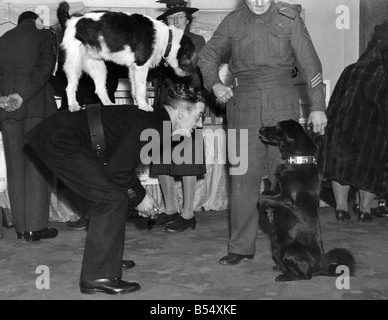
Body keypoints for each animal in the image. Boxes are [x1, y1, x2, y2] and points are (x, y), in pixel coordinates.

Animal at [56, 1, 196, 112]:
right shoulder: (141, 66)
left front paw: (137, 104)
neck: (167, 38)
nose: (192, 74)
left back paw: (109, 104)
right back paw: (73, 106)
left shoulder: (133, 68)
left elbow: (134, 90)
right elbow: (141, 89)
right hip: (73, 65)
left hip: (98, 67)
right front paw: (144, 106)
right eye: (190, 55)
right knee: (69, 88)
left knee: (100, 89)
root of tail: (70, 21)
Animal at [258, 120, 354, 282]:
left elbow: (261, 198)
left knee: (306, 276)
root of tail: (321, 264)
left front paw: (266, 212)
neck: (298, 161)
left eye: (278, 126)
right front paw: (268, 212)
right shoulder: (277, 192)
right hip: (277, 247)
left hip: (289, 251)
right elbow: (265, 193)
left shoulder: (289, 200)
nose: (260, 128)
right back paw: (280, 268)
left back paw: (285, 276)